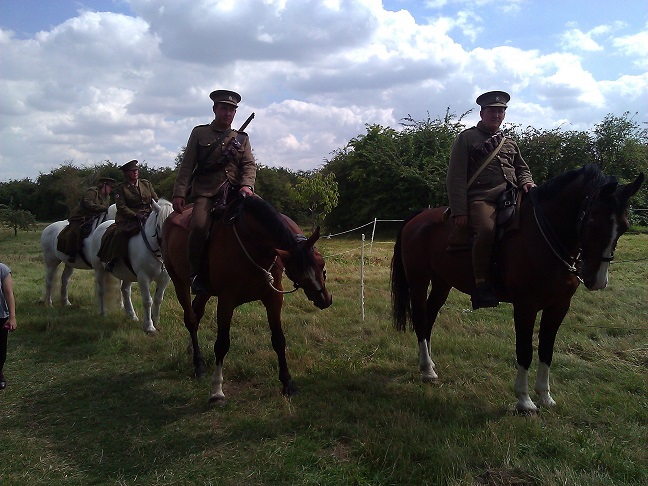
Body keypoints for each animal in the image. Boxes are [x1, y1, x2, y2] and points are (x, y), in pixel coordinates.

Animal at [88, 199, 176, 332]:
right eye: (159, 226)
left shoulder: (164, 278)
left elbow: (158, 299)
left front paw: (156, 321)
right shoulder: (143, 277)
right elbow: (147, 301)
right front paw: (149, 326)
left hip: (127, 274)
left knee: (125, 290)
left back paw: (132, 315)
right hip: (99, 270)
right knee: (101, 290)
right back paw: (103, 312)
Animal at [162, 196, 334, 404]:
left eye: (321, 263)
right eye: (297, 271)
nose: (324, 299)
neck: (253, 243)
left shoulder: (273, 298)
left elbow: (279, 340)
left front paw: (287, 383)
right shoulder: (226, 301)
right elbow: (222, 344)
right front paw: (217, 390)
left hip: (206, 290)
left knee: (196, 312)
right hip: (178, 281)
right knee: (191, 319)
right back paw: (198, 365)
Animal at [390, 165, 644, 412]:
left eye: (624, 226)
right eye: (592, 221)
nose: (597, 280)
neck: (541, 236)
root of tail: (419, 216)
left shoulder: (559, 306)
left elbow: (546, 349)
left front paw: (545, 396)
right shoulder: (525, 306)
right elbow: (525, 350)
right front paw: (524, 400)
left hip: (443, 283)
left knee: (430, 318)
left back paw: (429, 365)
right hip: (418, 281)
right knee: (421, 318)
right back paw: (427, 369)